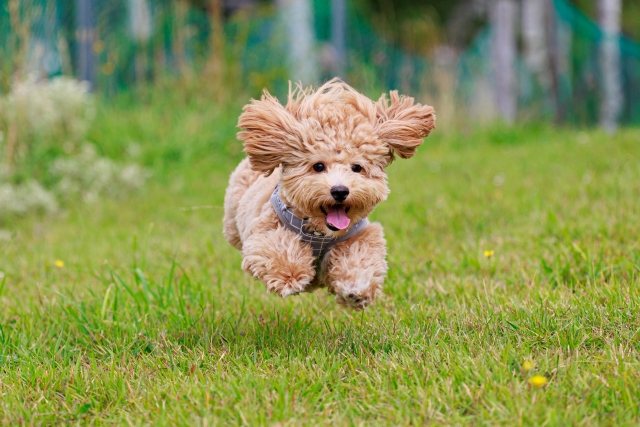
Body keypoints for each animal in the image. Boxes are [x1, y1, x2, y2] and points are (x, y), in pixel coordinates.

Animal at [222, 78, 438, 310]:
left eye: (356, 167)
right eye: (318, 166)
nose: (340, 190)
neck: (319, 233)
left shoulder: (360, 236)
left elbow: (360, 257)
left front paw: (356, 290)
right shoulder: (265, 229)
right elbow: (278, 246)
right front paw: (290, 275)